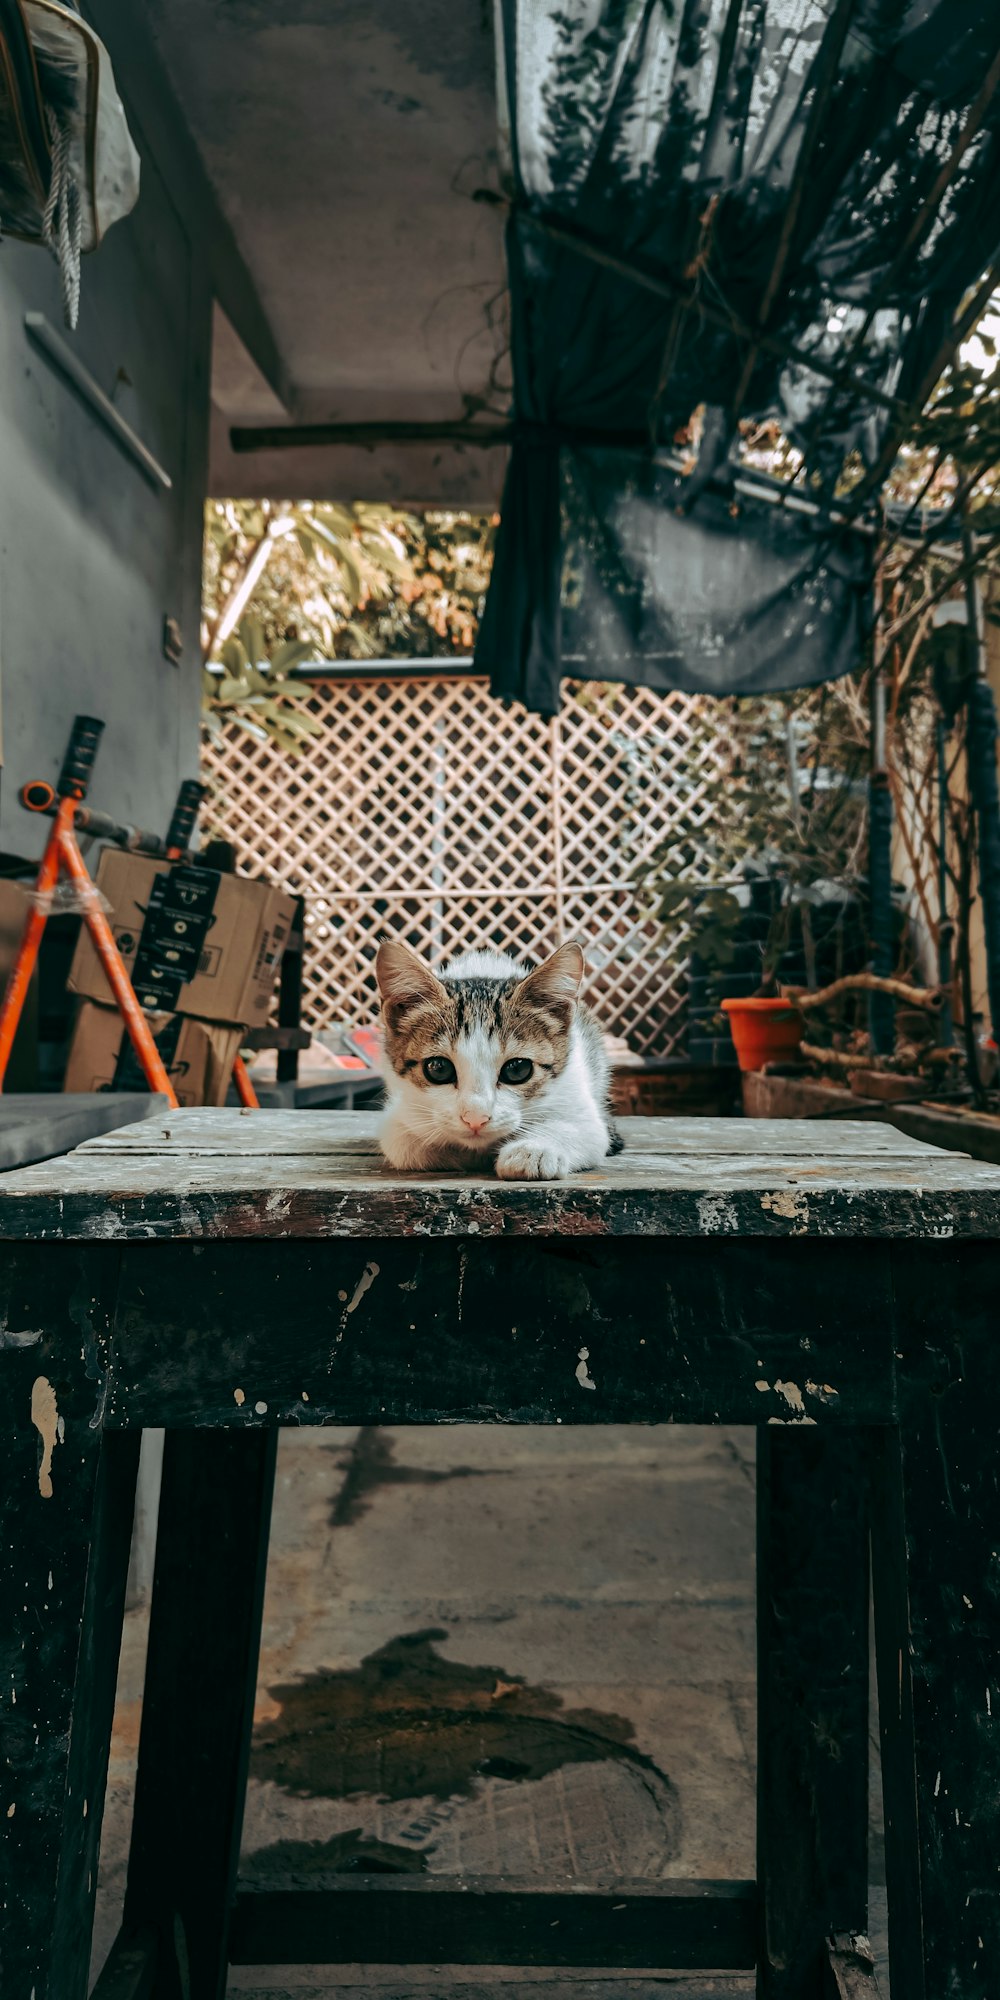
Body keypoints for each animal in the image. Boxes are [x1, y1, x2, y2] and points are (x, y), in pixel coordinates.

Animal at [376, 932, 620, 1168]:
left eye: (518, 1069)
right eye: (438, 1069)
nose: (475, 1119)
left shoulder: (576, 1093)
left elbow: (584, 1130)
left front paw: (533, 1150)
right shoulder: (401, 1113)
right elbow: (404, 1145)